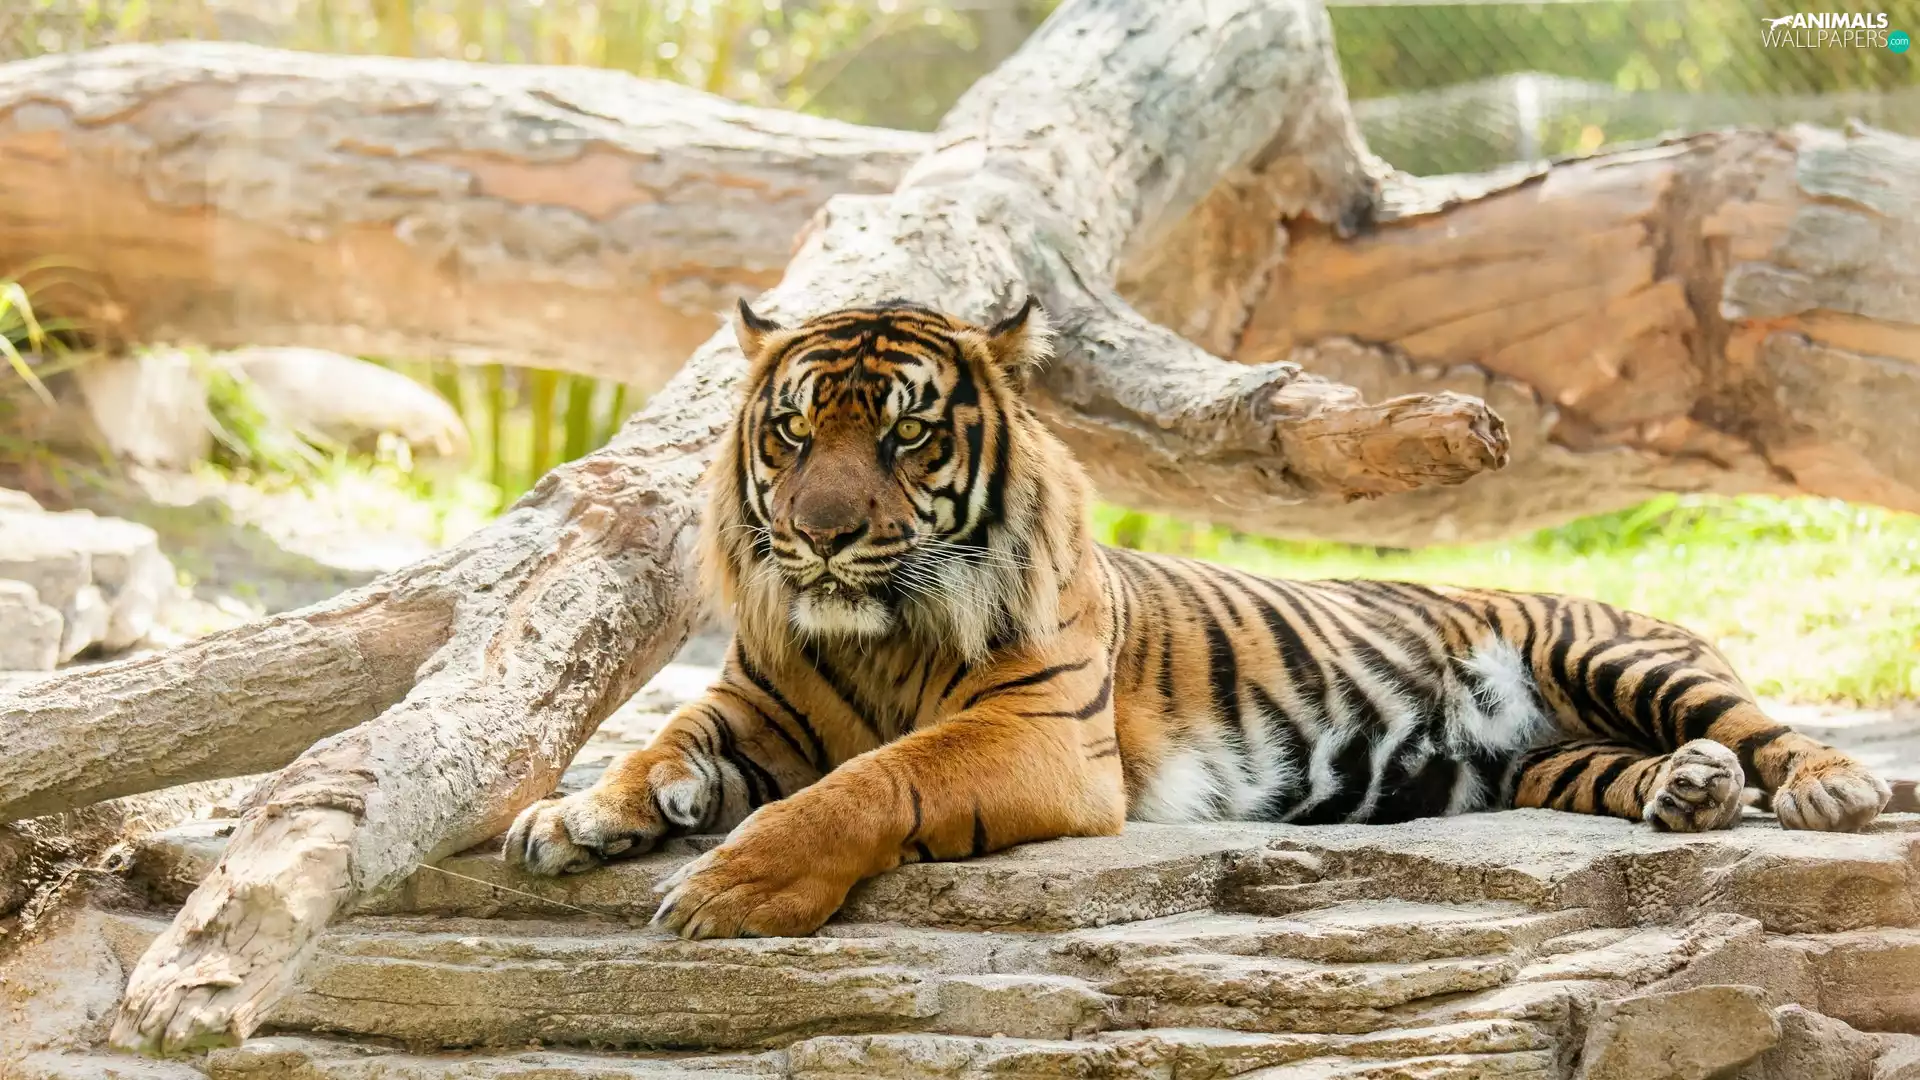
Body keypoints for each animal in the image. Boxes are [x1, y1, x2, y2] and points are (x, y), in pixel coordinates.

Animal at [506, 298, 1902, 941]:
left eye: (903, 434)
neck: (877, 633)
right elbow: (660, 743)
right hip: (1546, 761)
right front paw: (577, 817)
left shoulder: (1040, 739)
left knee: (1760, 724)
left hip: (1610, 650)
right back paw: (1690, 793)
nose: (825, 534)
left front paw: (727, 886)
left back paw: (1822, 788)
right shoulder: (753, 705)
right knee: (1636, 770)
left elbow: (873, 782)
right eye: (795, 432)